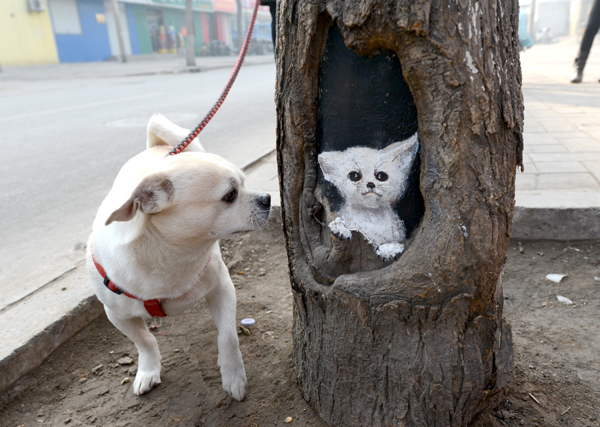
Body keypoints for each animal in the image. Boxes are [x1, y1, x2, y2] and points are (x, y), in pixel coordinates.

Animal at [86, 114, 270, 402]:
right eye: (230, 195)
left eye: (244, 181)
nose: (268, 198)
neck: (172, 257)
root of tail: (157, 146)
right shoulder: (117, 316)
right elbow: (145, 341)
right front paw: (148, 371)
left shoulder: (223, 289)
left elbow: (228, 337)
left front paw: (233, 377)